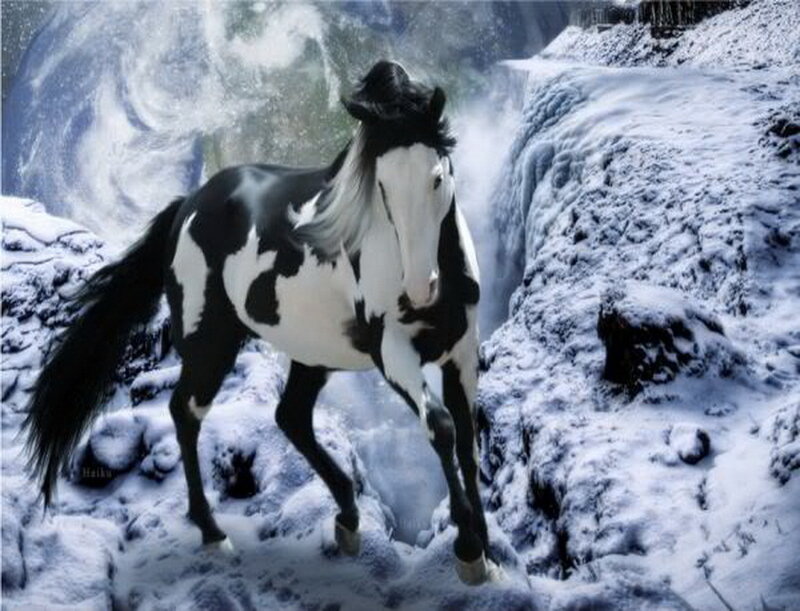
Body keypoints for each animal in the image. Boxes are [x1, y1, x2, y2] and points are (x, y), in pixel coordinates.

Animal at [22, 60, 493, 584]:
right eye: (383, 188)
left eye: (436, 177)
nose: (418, 288)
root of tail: (189, 205)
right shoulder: (393, 353)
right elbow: (442, 428)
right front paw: (470, 553)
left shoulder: (462, 352)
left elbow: (468, 441)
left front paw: (489, 552)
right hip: (210, 342)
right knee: (186, 412)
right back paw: (214, 535)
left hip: (310, 351)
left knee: (290, 417)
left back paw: (347, 520)